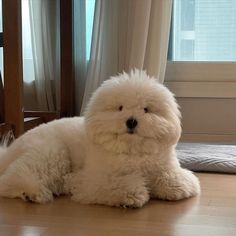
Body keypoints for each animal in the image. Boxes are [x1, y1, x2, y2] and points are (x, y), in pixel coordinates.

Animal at [0, 69, 199, 206]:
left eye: (146, 109)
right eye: (120, 108)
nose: (131, 121)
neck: (132, 150)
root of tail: (10, 151)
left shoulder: (163, 166)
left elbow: (172, 177)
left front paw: (175, 186)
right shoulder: (96, 179)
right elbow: (119, 184)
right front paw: (133, 193)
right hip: (52, 152)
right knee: (12, 178)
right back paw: (31, 192)